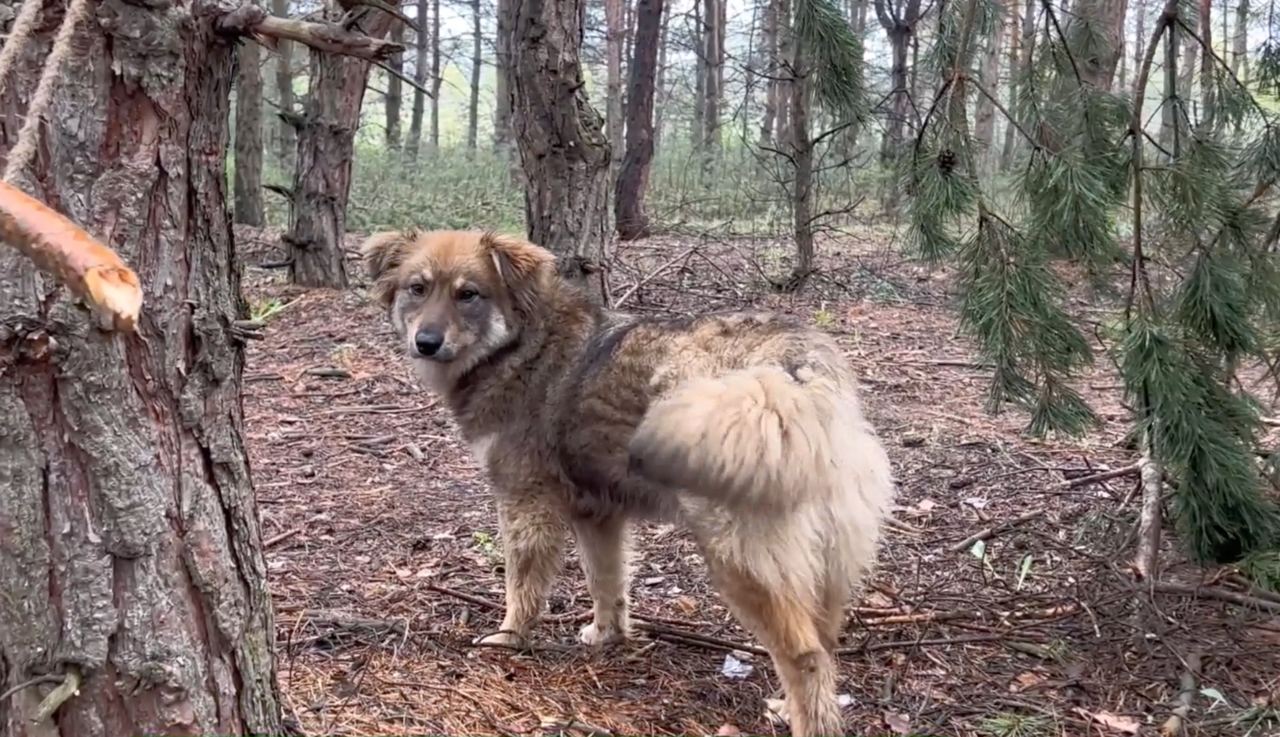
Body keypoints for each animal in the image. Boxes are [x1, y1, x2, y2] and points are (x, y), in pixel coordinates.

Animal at [360, 230, 901, 737]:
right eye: (417, 289)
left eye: (468, 294)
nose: (426, 341)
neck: (522, 345)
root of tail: (799, 370)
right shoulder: (598, 515)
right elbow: (607, 583)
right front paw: (607, 636)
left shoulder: (525, 504)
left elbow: (522, 587)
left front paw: (509, 639)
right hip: (823, 566)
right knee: (824, 645)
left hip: (743, 566)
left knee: (805, 657)